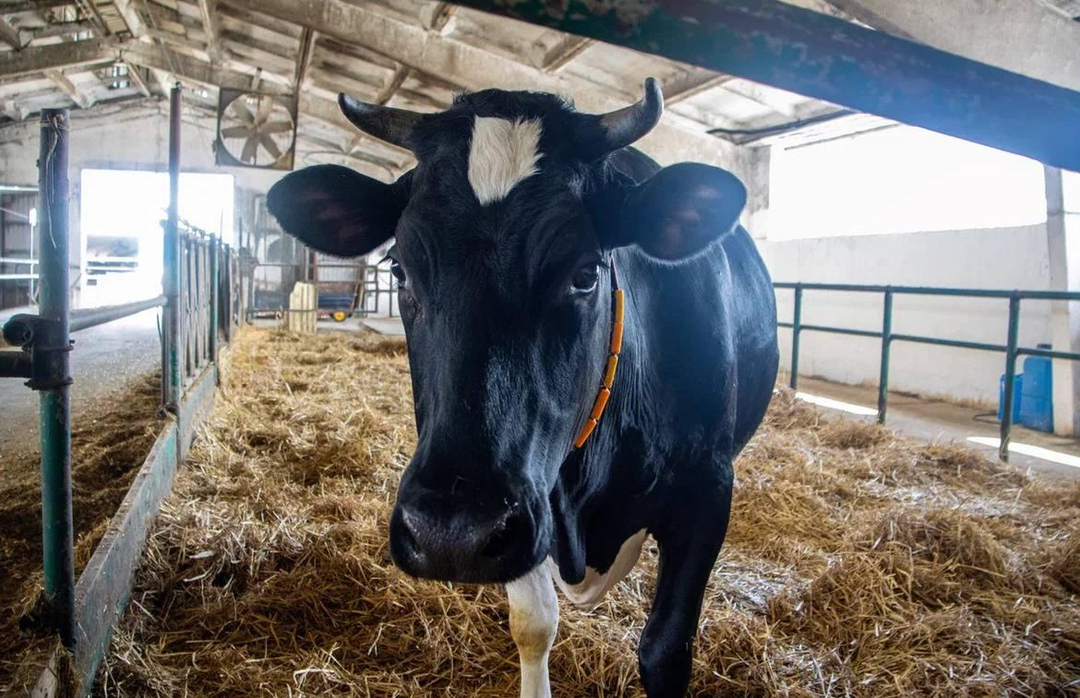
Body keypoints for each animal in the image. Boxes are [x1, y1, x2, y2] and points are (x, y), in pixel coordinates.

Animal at [268, 77, 779, 697]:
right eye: (399, 271)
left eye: (585, 273)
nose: (449, 532)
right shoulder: (528, 496)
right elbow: (533, 624)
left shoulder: (707, 488)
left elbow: (665, 650)